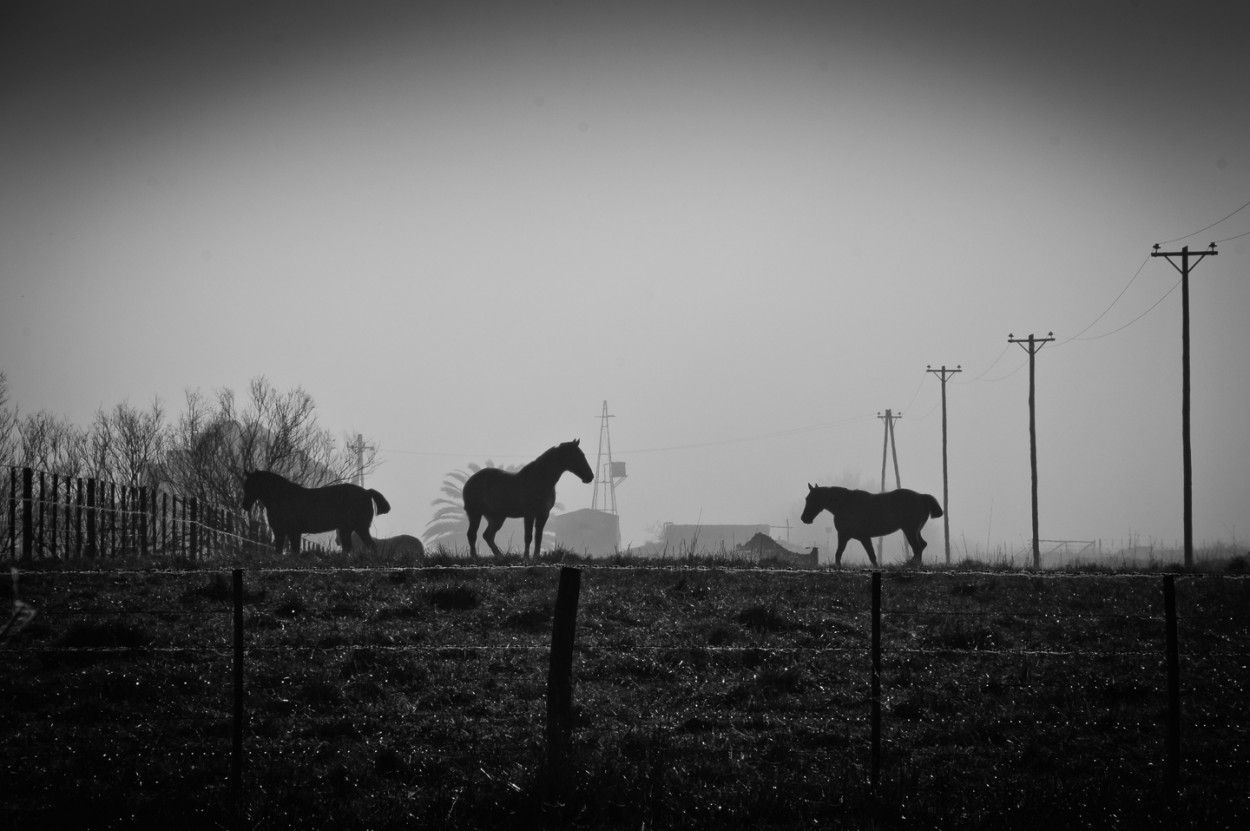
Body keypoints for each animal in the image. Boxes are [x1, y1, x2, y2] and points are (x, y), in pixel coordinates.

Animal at [242, 469, 390, 554]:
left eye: (252, 485)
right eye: (245, 485)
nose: (245, 506)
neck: (282, 496)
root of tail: (367, 492)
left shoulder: (293, 532)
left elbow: (294, 552)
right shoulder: (280, 532)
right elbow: (279, 551)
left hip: (361, 528)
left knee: (371, 546)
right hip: (346, 529)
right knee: (349, 548)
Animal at [465, 437, 595, 559]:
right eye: (579, 455)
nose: (590, 477)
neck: (539, 479)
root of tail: (471, 480)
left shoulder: (543, 514)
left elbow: (538, 537)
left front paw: (536, 557)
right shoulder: (529, 514)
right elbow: (528, 536)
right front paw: (526, 557)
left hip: (497, 518)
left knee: (488, 536)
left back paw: (500, 556)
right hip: (475, 513)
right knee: (472, 534)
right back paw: (475, 557)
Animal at [805, 482, 940, 567]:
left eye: (810, 499)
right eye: (807, 499)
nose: (804, 518)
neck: (844, 504)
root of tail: (922, 497)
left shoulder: (846, 535)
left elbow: (840, 553)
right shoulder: (861, 537)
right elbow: (872, 556)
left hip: (910, 531)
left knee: (917, 547)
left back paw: (912, 564)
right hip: (915, 531)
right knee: (922, 545)